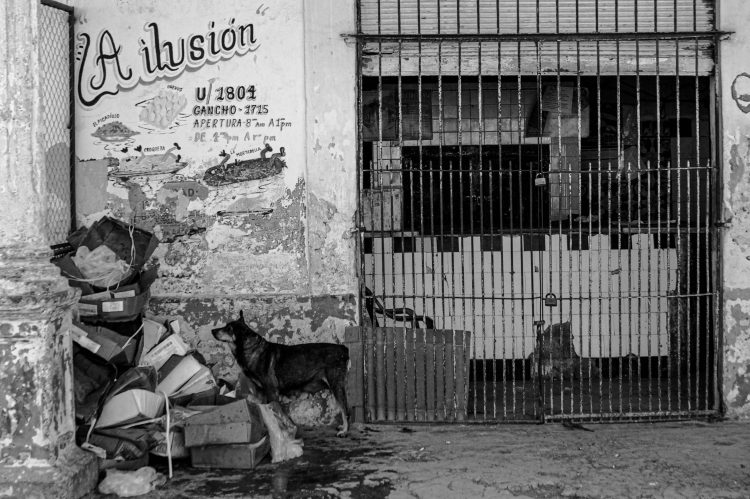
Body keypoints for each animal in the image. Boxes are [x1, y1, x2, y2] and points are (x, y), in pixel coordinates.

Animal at [213, 312, 352, 438]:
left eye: (228, 328)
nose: (212, 330)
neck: (252, 349)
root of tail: (343, 349)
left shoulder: (271, 391)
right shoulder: (262, 392)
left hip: (336, 385)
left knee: (345, 409)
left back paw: (345, 431)